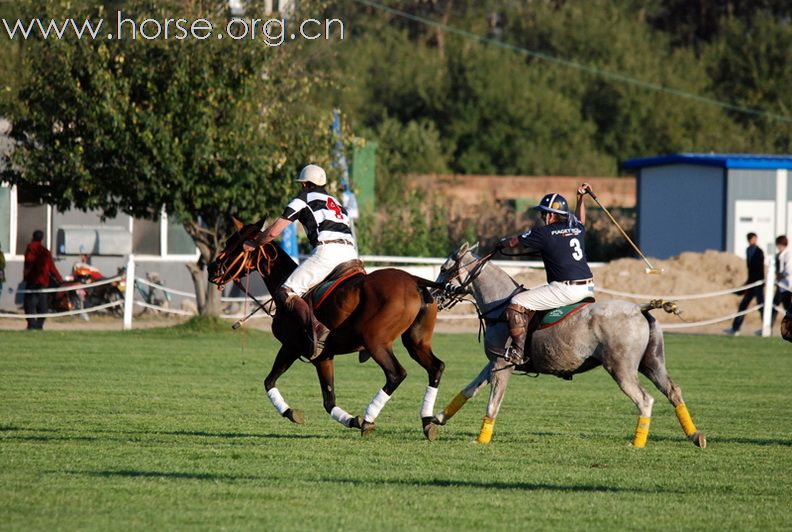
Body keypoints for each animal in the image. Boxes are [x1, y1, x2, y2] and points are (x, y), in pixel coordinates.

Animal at [207, 218, 446, 438]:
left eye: (233, 243)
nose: (211, 269)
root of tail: (414, 280)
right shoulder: (323, 356)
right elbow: (327, 400)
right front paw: (351, 420)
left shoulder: (291, 347)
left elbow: (269, 381)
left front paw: (291, 412)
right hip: (416, 341)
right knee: (436, 367)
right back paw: (427, 422)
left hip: (375, 340)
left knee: (396, 374)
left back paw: (369, 420)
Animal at [434, 243, 704, 446]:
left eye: (444, 268)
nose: (434, 296)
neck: (499, 306)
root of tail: (640, 308)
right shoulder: (494, 362)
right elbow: (469, 389)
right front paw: (436, 419)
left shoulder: (503, 363)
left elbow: (492, 403)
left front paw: (481, 439)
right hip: (652, 363)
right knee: (673, 391)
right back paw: (694, 435)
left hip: (621, 368)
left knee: (645, 399)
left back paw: (637, 443)